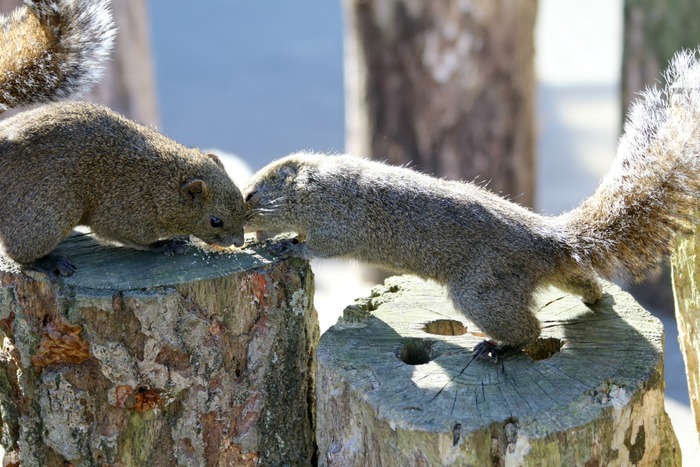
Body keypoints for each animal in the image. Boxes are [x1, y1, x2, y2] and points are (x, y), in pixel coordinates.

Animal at [0, 0, 246, 278]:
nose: (239, 242)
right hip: (44, 215)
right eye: (216, 221)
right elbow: (132, 239)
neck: (161, 185)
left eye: (241, 201)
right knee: (19, 252)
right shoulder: (124, 213)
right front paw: (166, 244)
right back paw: (49, 261)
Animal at [243, 52, 700, 366]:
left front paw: (288, 246)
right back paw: (596, 298)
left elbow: (321, 246)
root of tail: (550, 240)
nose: (242, 225)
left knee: (528, 329)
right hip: (544, 275)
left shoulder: (336, 221)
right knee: (582, 282)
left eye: (249, 196)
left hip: (481, 288)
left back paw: (497, 347)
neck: (312, 187)